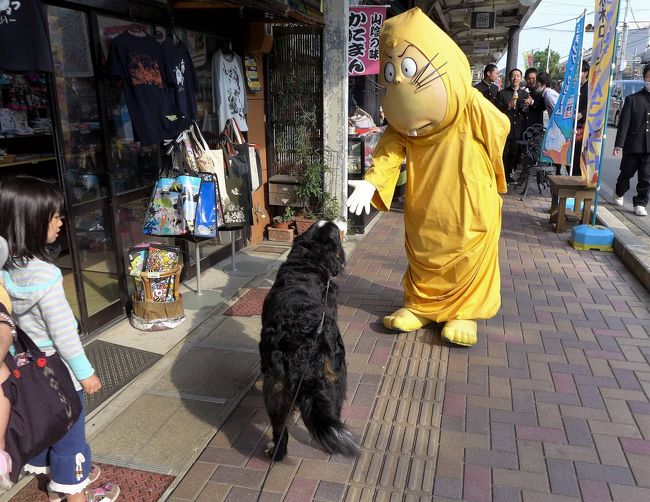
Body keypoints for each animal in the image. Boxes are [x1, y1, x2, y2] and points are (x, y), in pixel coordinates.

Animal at [258, 222, 360, 460]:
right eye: (335, 228)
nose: (341, 219)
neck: (306, 266)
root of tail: (304, 348)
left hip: (277, 384)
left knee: (281, 428)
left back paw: (275, 452)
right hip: (337, 371)